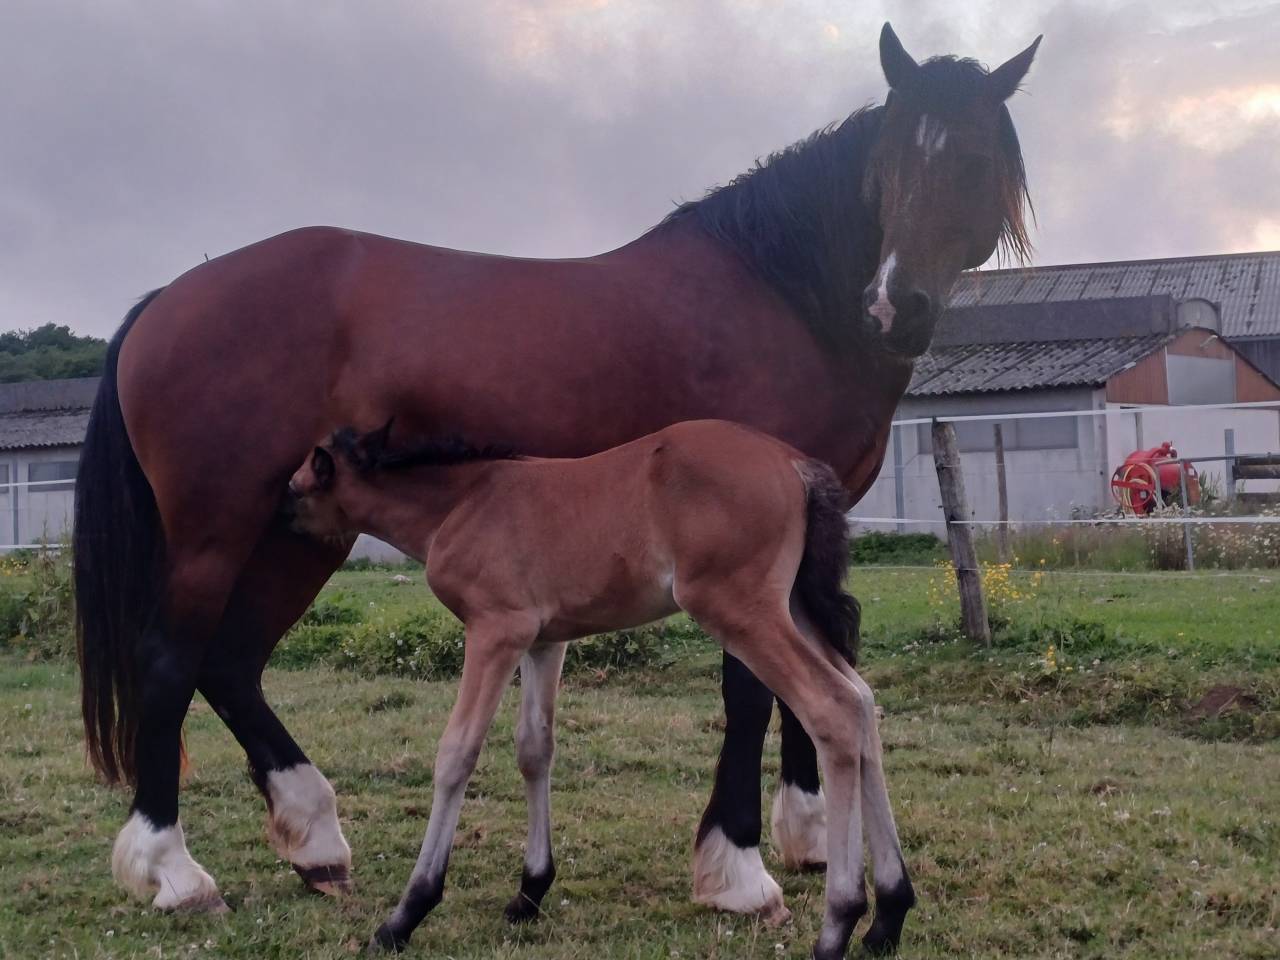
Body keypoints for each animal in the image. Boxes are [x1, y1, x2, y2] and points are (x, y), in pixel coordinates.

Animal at [285, 418, 903, 959]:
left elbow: (456, 754)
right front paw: (530, 890)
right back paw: (888, 917)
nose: (282, 528)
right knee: (862, 704)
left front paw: (405, 914)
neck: (459, 503)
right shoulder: (543, 641)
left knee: (834, 709)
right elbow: (535, 748)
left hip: (742, 609)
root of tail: (797, 466)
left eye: (295, 490)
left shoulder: (495, 630)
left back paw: (839, 924)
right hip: (793, 608)